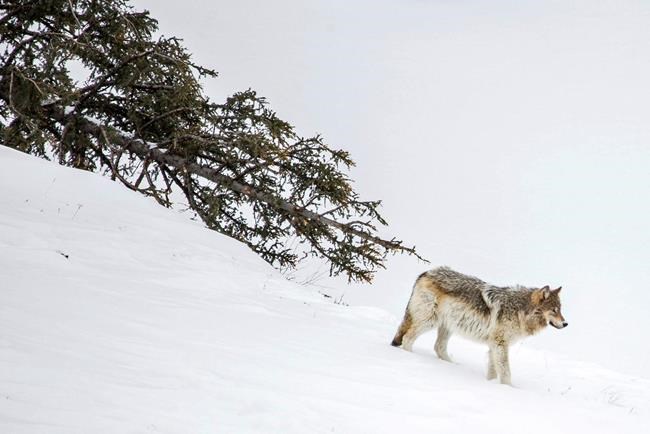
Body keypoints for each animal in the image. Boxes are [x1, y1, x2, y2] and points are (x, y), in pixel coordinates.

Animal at [391, 266, 567, 385]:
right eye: (554, 310)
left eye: (560, 309)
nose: (566, 323)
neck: (520, 310)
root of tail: (425, 272)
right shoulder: (500, 344)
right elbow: (506, 373)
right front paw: (510, 389)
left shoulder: (495, 346)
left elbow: (493, 372)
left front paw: (491, 385)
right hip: (430, 321)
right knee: (407, 338)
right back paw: (411, 357)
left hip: (448, 326)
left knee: (438, 347)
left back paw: (452, 365)